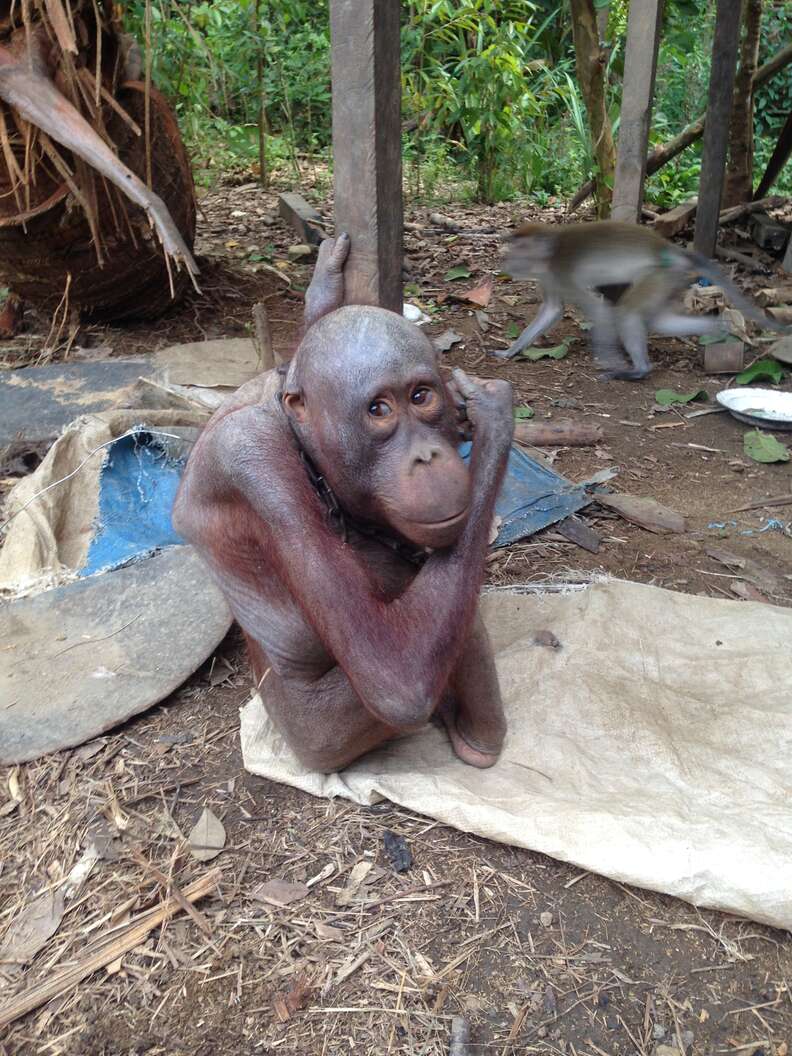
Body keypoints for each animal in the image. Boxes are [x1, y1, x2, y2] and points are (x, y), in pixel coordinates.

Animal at [495, 220, 790, 379]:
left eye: (520, 247)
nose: (506, 260)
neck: (548, 257)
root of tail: (672, 250)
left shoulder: (562, 271)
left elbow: (598, 310)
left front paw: (610, 360)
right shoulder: (550, 277)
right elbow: (552, 310)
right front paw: (510, 351)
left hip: (656, 275)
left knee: (627, 312)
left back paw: (638, 370)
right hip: (669, 279)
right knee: (659, 321)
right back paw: (721, 328)